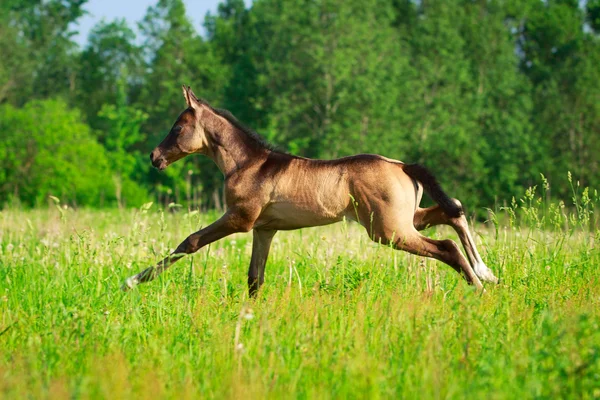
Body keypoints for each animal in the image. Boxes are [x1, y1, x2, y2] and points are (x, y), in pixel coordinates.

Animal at [120, 86, 496, 296]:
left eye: (177, 127)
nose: (155, 157)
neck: (247, 163)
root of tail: (403, 166)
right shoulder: (264, 229)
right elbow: (255, 278)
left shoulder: (239, 219)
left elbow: (190, 242)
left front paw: (132, 281)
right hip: (406, 220)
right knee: (454, 209)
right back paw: (486, 273)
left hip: (389, 230)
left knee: (446, 246)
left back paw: (478, 287)